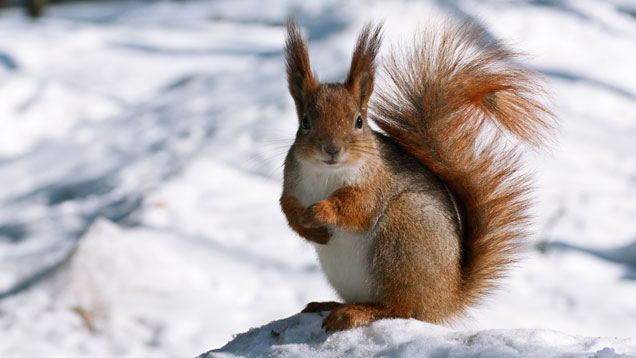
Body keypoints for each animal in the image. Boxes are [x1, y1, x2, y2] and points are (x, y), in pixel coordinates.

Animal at [278, 19, 552, 332]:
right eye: (305, 122)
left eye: (359, 121)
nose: (331, 150)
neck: (327, 173)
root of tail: (446, 297)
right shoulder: (292, 184)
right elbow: (287, 208)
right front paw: (307, 226)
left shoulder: (376, 183)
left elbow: (358, 207)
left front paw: (319, 212)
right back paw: (328, 304)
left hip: (403, 235)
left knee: (400, 307)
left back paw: (355, 312)